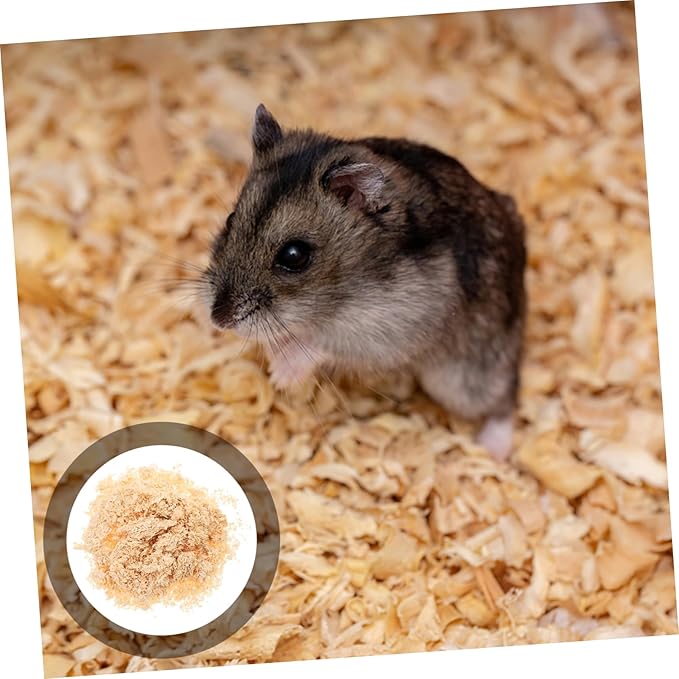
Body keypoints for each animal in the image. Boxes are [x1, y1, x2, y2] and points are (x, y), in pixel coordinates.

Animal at [203, 104, 527, 461]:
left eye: (294, 255)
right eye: (231, 219)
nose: (218, 320)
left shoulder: (391, 325)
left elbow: (322, 343)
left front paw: (281, 375)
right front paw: (274, 356)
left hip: (465, 376)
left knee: (505, 395)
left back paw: (492, 450)